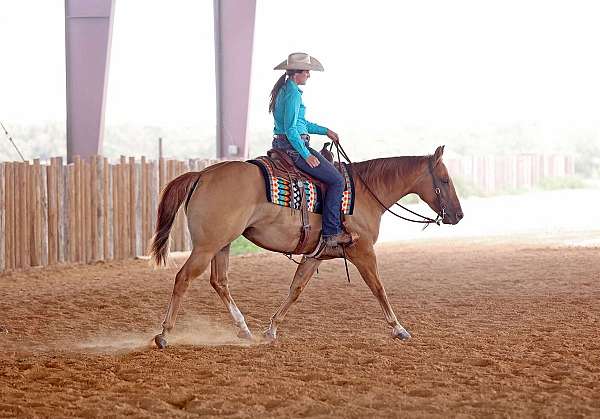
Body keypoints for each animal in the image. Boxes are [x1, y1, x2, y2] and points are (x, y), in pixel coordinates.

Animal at [150, 146, 464, 350]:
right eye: (445, 179)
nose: (458, 215)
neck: (366, 192)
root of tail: (202, 174)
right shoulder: (363, 252)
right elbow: (379, 288)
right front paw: (399, 328)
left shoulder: (316, 255)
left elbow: (296, 289)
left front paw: (272, 329)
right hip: (206, 246)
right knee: (183, 278)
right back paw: (164, 333)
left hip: (221, 244)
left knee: (220, 281)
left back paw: (244, 329)